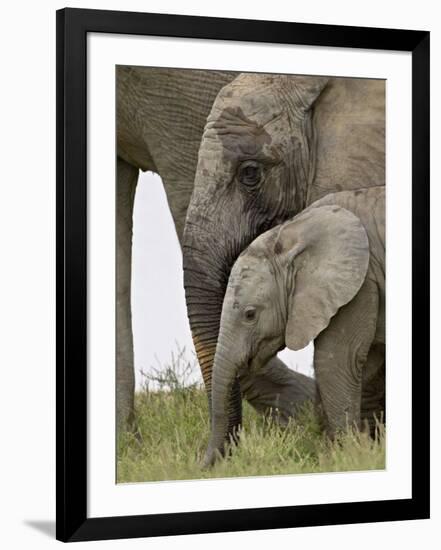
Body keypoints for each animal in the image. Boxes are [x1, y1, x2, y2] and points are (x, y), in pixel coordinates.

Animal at [205, 188, 384, 468]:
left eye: (250, 315)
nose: (200, 466)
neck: (291, 231)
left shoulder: (360, 282)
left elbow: (336, 362)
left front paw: (347, 456)